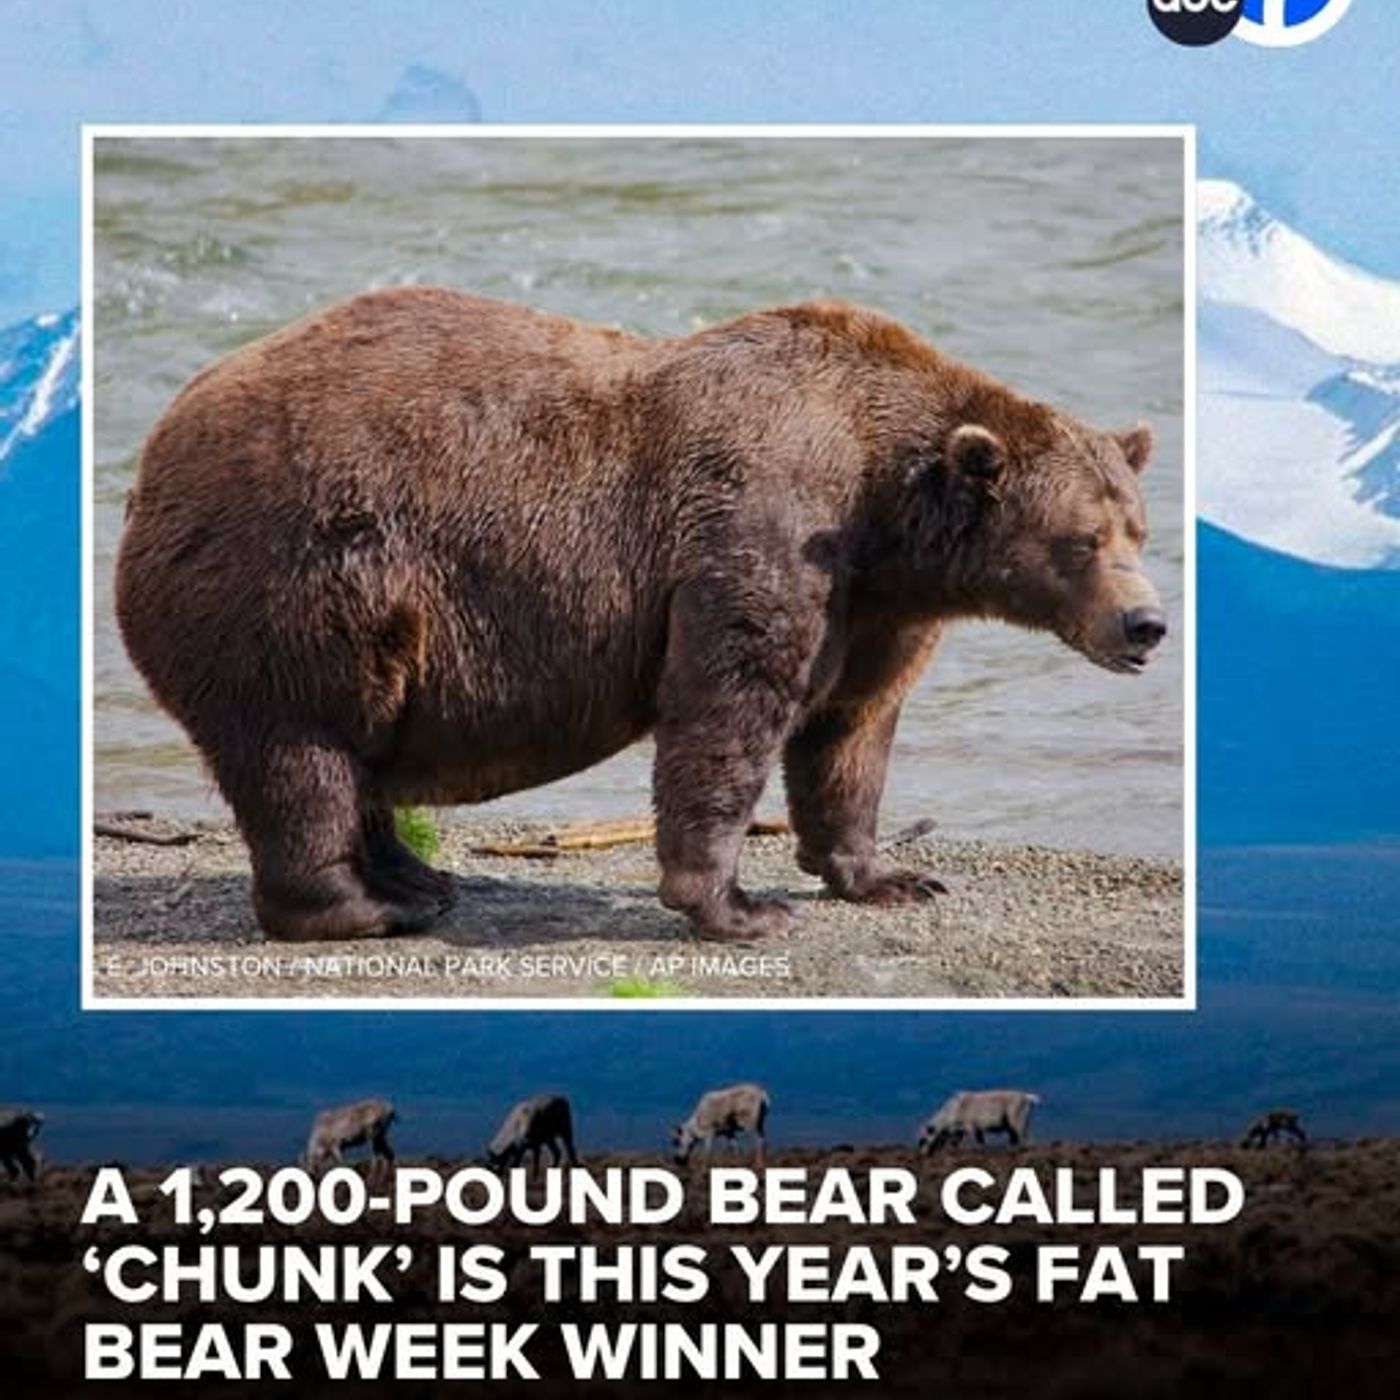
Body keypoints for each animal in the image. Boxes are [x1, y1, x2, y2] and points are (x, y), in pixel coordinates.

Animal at [115, 288, 1167, 943]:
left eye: (1137, 528)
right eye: (1081, 539)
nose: (1146, 625)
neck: (886, 507)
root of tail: (156, 449)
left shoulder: (877, 607)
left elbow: (850, 731)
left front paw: (889, 877)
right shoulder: (764, 526)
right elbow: (728, 707)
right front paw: (739, 907)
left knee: (354, 751)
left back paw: (419, 880)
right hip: (296, 575)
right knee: (303, 751)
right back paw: (361, 907)